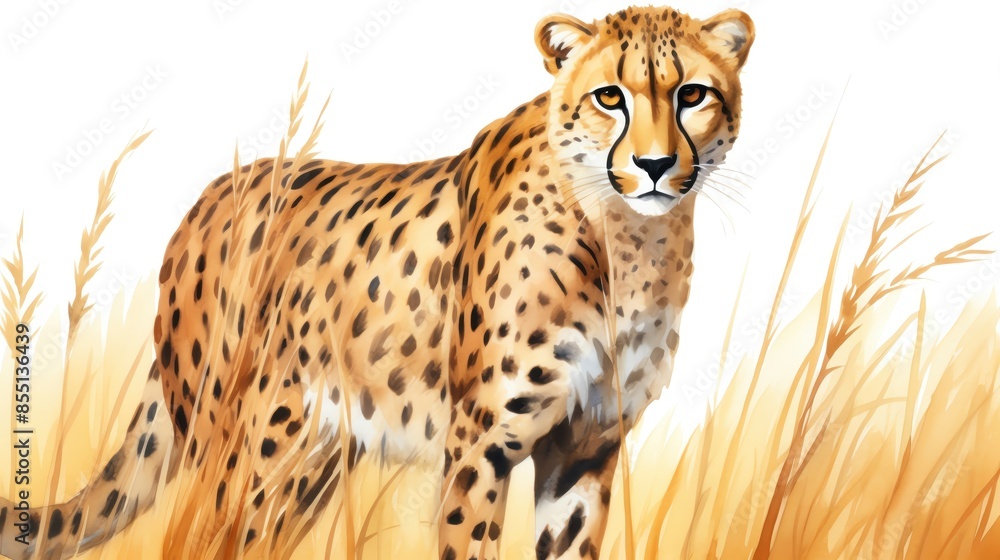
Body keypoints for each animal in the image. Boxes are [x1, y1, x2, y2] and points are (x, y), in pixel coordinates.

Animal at [0, 5, 753, 559]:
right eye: (609, 97)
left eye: (692, 95)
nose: (654, 166)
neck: (629, 239)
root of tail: (212, 194)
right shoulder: (481, 442)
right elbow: (468, 543)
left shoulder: (585, 447)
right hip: (248, 457)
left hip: (304, 468)